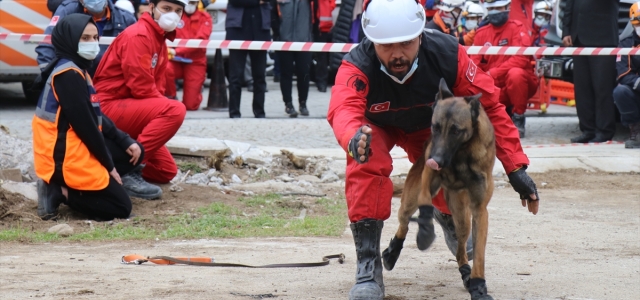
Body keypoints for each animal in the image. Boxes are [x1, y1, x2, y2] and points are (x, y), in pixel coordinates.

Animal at [382, 78, 498, 298]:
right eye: (435, 127)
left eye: (456, 130)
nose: (435, 160)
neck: (460, 155)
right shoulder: (427, 178)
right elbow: (426, 203)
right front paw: (425, 231)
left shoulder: (480, 210)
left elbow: (479, 254)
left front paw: (479, 285)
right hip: (409, 200)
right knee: (404, 222)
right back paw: (392, 252)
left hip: (463, 218)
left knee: (461, 249)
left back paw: (466, 272)